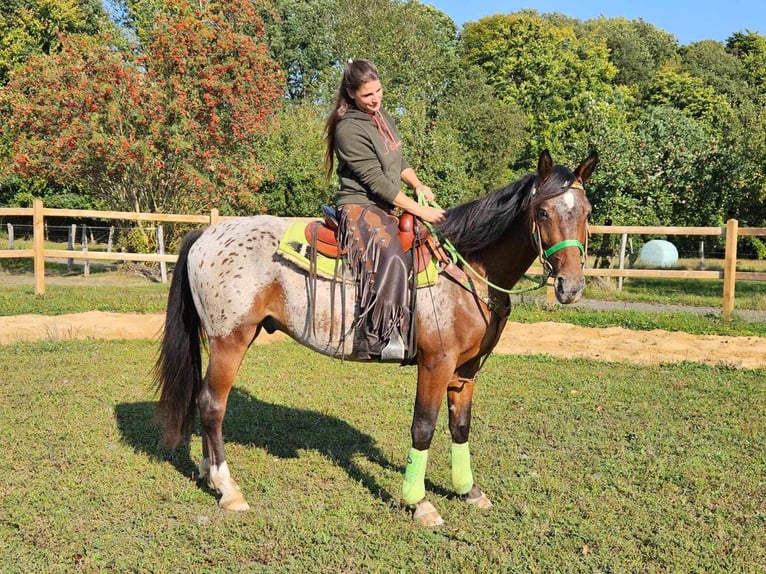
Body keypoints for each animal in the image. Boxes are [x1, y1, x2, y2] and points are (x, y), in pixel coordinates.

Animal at [154, 148, 600, 528]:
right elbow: (423, 428)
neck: (466, 267)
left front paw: (468, 491)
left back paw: (209, 473)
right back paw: (228, 489)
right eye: (542, 211)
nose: (571, 286)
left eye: (587, 212)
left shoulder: (467, 369)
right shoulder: (436, 364)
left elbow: (460, 427)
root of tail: (205, 235)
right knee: (212, 404)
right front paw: (418, 503)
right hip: (230, 340)